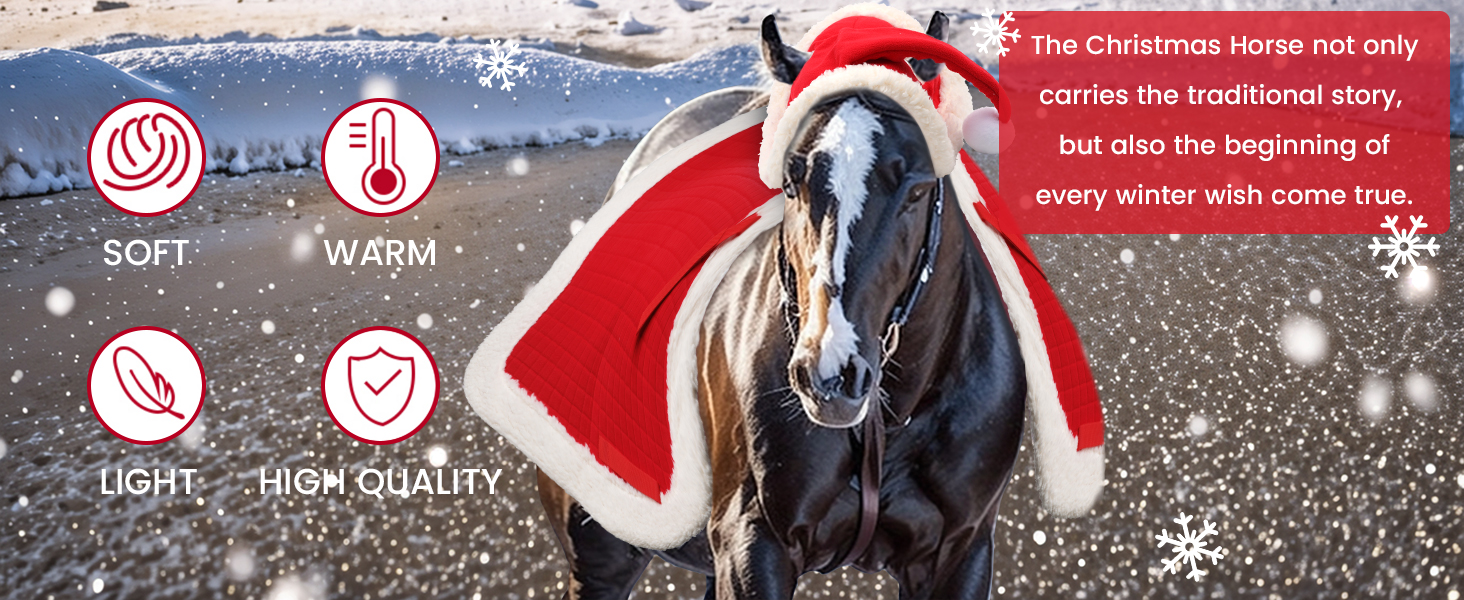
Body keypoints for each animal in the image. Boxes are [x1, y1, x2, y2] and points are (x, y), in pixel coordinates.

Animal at [537, 13, 1027, 599]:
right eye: (792, 180)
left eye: (917, 188)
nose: (830, 376)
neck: (883, 426)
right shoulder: (753, 544)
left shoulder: (960, 550)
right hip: (600, 552)